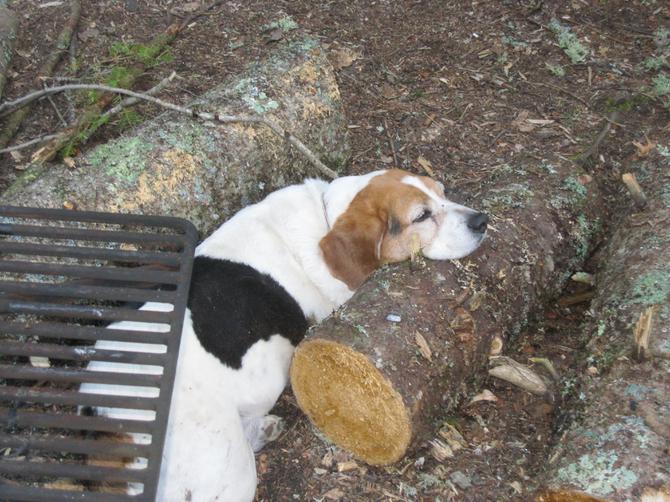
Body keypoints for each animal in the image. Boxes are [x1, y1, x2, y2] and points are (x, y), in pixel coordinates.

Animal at [80, 170, 488, 502]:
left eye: (443, 192)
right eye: (421, 216)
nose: (483, 220)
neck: (325, 215)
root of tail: (105, 429)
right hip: (229, 467)